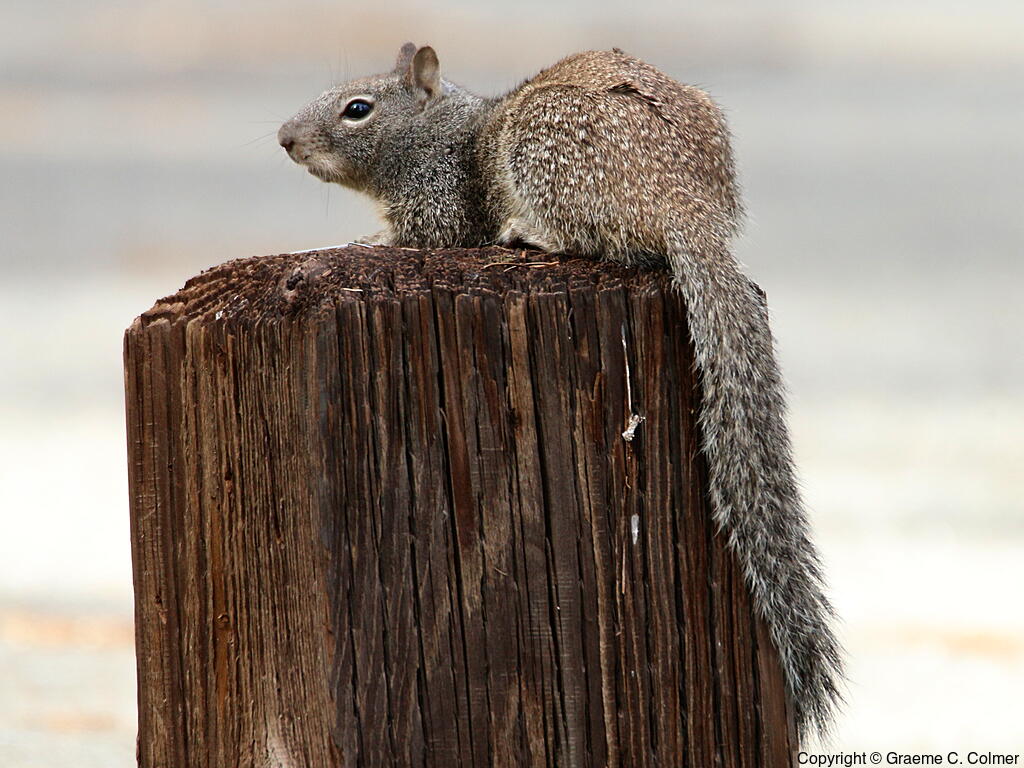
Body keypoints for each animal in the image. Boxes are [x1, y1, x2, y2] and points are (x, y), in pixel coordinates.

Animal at [278, 43, 844, 739]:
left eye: (358, 109)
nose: (285, 139)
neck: (440, 129)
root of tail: (687, 206)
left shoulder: (441, 204)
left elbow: (423, 238)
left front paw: (364, 242)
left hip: (546, 152)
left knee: (598, 242)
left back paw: (528, 232)